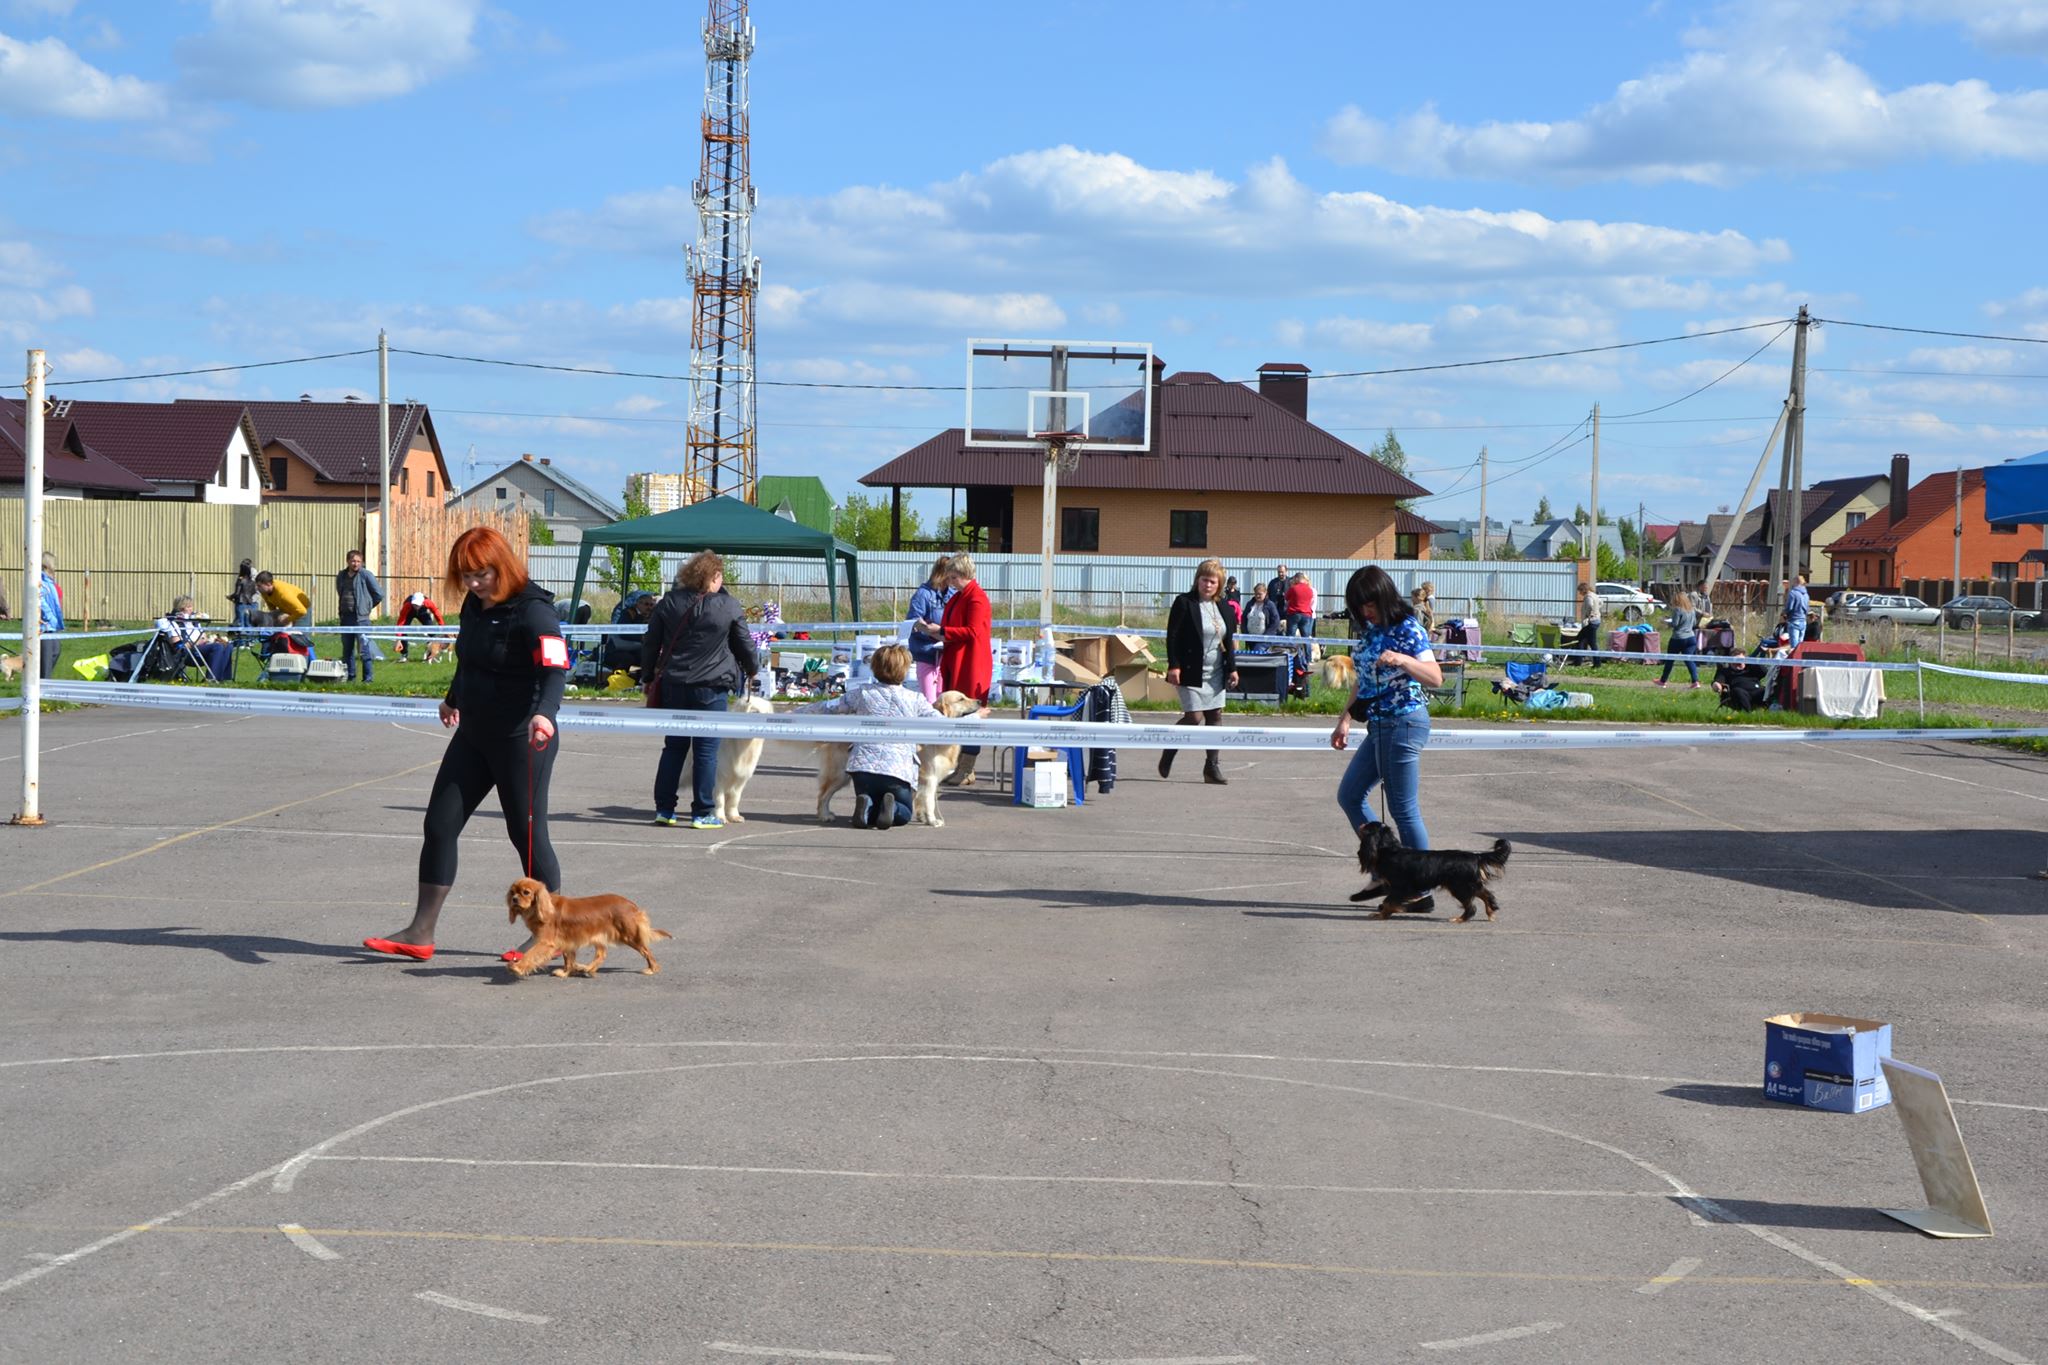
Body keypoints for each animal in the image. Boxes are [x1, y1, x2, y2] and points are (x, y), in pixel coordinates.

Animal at [505, 879, 671, 978]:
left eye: (526, 892)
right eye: (512, 892)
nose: (514, 899)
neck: (541, 909)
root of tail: (632, 905)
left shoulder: (546, 943)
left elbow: (530, 955)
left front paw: (516, 967)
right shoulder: (566, 941)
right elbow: (568, 958)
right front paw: (565, 972)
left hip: (629, 935)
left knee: (646, 951)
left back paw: (652, 968)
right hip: (600, 936)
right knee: (602, 954)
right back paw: (588, 969)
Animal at [1351, 822, 1515, 929]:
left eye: (1366, 827)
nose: (1361, 824)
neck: (1390, 849)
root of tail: (1475, 856)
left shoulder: (1402, 888)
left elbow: (1388, 902)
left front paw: (1382, 915)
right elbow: (1388, 901)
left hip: (1460, 887)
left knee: (1472, 906)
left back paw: (1459, 919)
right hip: (1469, 884)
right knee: (1487, 895)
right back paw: (1491, 911)